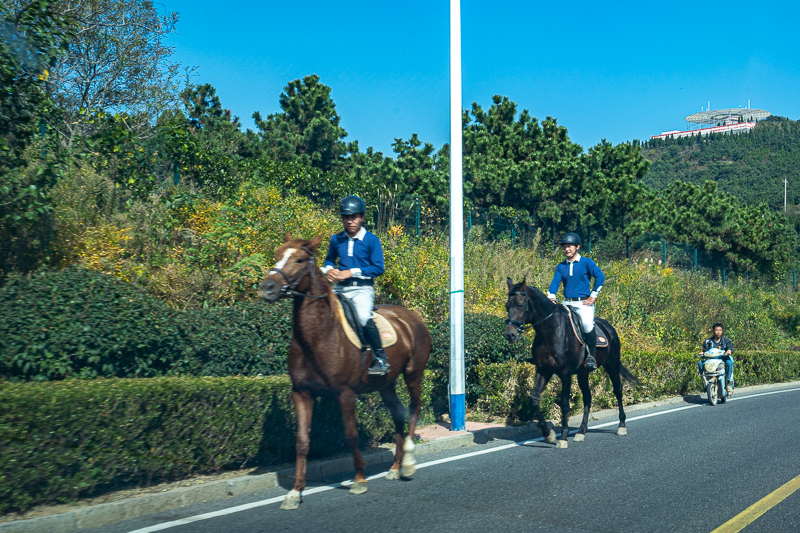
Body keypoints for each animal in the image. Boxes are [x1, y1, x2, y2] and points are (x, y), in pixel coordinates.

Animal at [258, 232, 432, 508]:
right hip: (386, 384)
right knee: (398, 416)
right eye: (277, 255)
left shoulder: (345, 394)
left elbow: (351, 436)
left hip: (414, 374)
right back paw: (394, 467)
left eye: (299, 260)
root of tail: (412, 317)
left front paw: (359, 480)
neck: (318, 336)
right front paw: (295, 492)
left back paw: (408, 462)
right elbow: (302, 441)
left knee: (414, 408)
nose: (267, 288)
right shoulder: (302, 393)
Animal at [506, 276, 636, 446]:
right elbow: (534, 399)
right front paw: (548, 434)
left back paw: (621, 425)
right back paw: (581, 431)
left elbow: (564, 404)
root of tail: (609, 327)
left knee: (618, 391)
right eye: (507, 306)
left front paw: (562, 437)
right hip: (583, 373)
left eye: (520, 305)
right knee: (587, 397)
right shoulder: (543, 370)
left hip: (612, 365)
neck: (550, 331)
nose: (510, 335)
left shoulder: (565, 373)